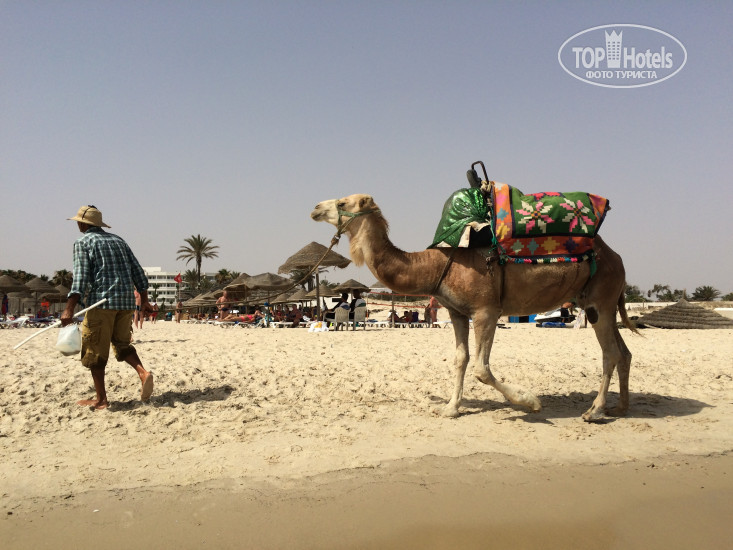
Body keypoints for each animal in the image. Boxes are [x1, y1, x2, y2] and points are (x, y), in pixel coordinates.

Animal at [311, 194, 637, 422]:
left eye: (343, 201)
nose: (315, 208)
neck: (436, 264)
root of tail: (617, 258)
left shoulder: (486, 311)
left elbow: (481, 368)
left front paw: (530, 401)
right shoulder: (457, 312)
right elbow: (460, 359)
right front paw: (450, 408)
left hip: (600, 301)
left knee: (609, 353)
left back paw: (595, 411)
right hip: (602, 303)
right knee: (623, 352)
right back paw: (620, 408)